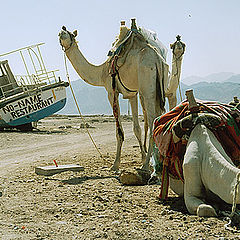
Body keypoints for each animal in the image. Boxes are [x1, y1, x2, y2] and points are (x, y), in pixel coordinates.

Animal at [58, 20, 186, 171]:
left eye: (67, 34)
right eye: (61, 34)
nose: (62, 30)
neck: (101, 72)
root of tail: (157, 60)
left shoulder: (111, 92)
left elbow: (119, 132)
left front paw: (115, 164)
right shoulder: (132, 94)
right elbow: (137, 129)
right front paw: (143, 159)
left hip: (147, 88)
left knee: (153, 121)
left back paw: (147, 167)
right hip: (159, 85)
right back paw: (156, 162)